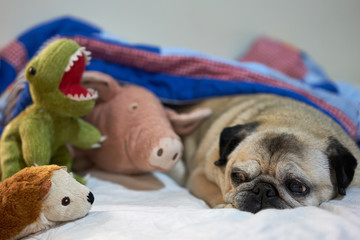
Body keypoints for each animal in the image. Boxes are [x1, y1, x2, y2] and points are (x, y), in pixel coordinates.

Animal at [181, 94, 358, 214]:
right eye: (238, 176)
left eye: (297, 186)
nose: (263, 189)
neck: (290, 121)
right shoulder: (199, 177)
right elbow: (214, 192)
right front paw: (225, 205)